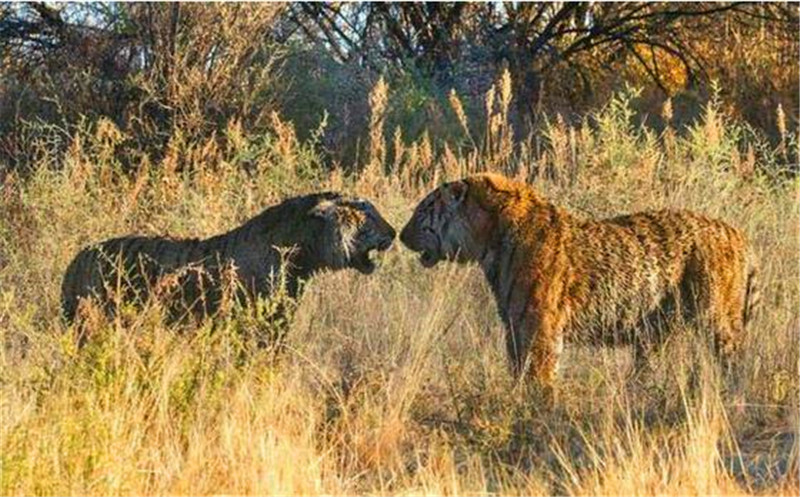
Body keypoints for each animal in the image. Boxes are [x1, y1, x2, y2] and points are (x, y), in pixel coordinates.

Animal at [404, 173, 760, 400]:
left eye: (422, 210)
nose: (402, 235)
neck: (487, 238)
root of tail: (738, 233)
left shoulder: (538, 326)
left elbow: (539, 375)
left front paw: (538, 410)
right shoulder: (514, 326)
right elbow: (517, 370)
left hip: (719, 321)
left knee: (735, 362)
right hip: (657, 331)